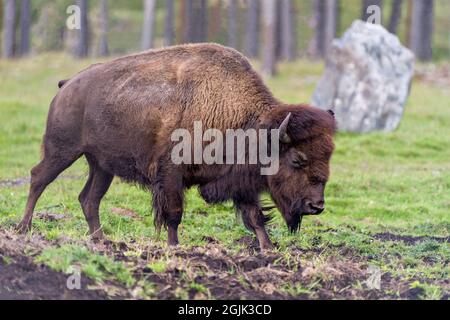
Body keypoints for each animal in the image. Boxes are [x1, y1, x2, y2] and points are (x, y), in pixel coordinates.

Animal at [16, 43, 334, 250]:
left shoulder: (239, 179)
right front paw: (174, 246)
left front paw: (267, 248)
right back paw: (24, 227)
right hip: (63, 151)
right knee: (38, 178)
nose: (317, 205)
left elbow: (254, 215)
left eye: (327, 157)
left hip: (101, 166)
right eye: (297, 160)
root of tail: (68, 84)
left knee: (88, 198)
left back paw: (101, 239)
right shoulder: (170, 173)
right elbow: (174, 213)